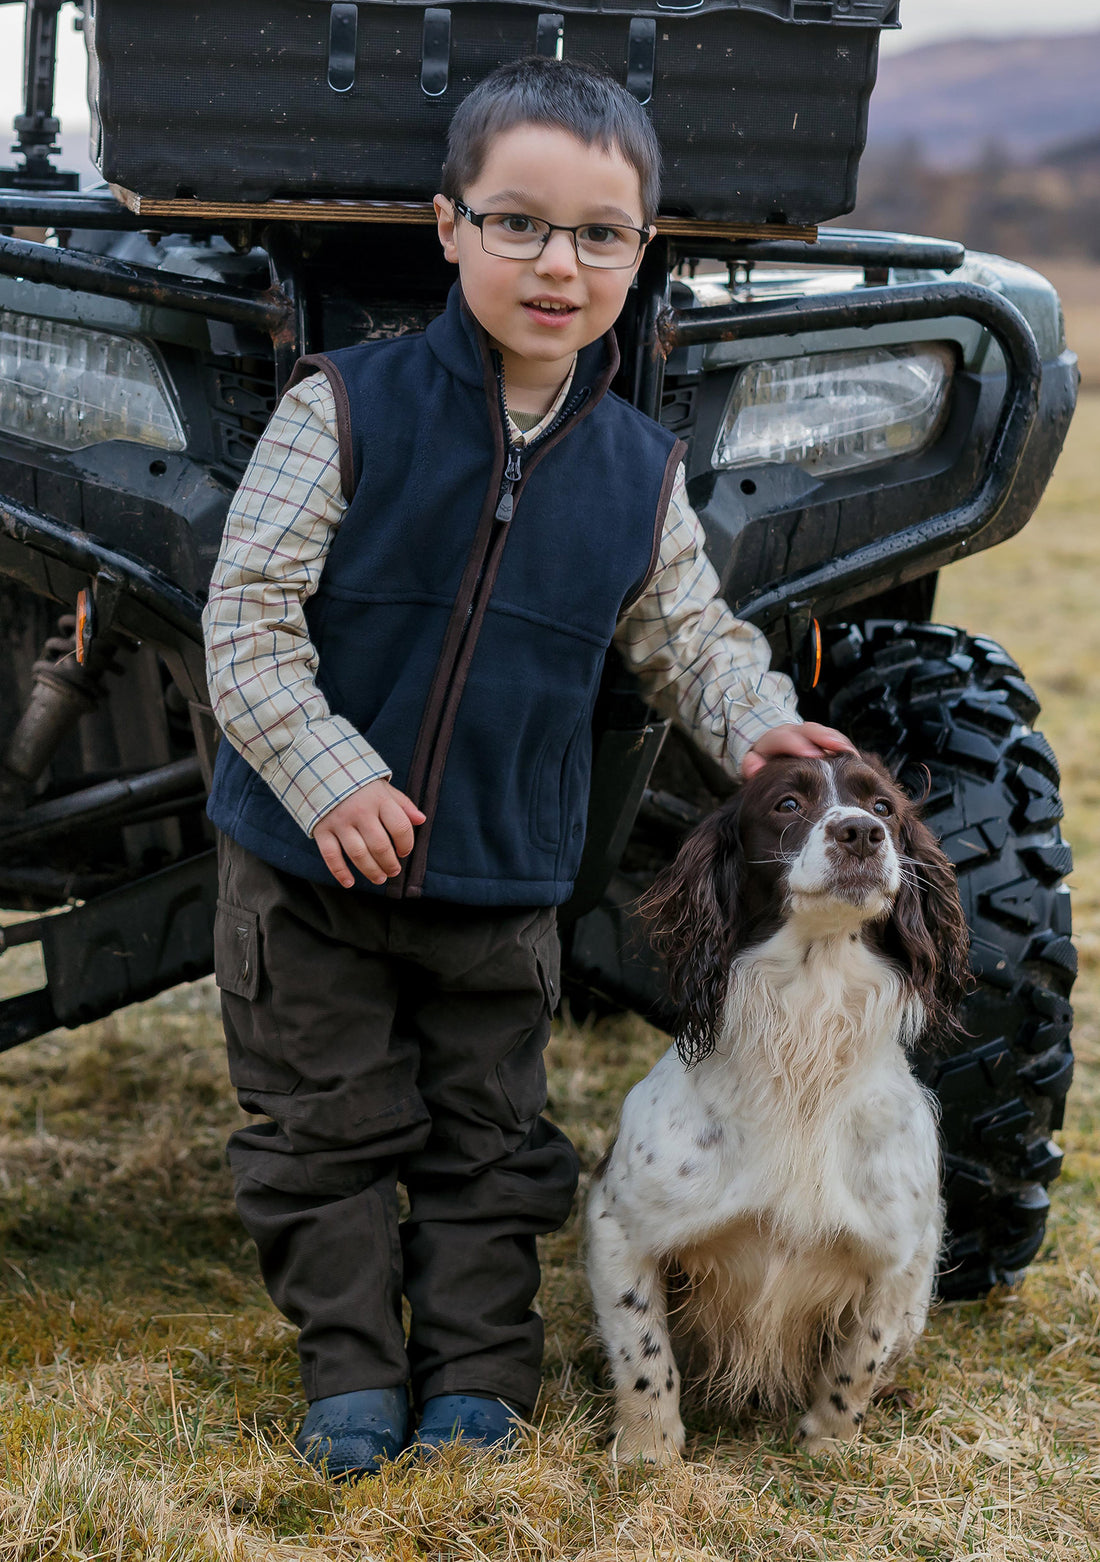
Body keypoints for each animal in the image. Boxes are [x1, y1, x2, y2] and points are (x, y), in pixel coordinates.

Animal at [587, 749, 968, 1455]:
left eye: (883, 807)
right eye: (787, 804)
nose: (861, 833)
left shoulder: (903, 1254)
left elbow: (858, 1360)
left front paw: (828, 1447)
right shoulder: (617, 1225)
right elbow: (643, 1352)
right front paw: (650, 1453)